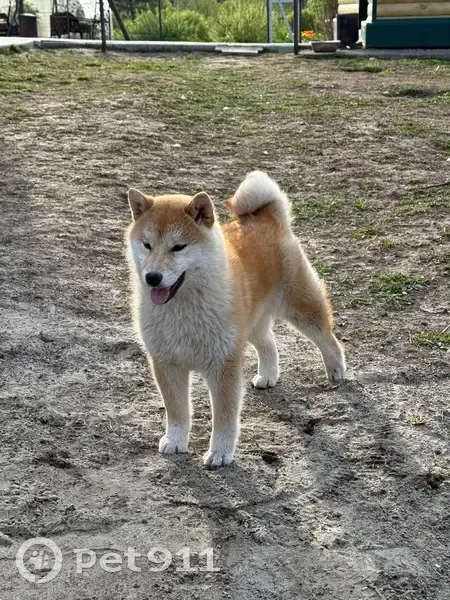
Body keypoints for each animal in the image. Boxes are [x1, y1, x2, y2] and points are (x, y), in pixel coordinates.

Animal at [126, 171, 345, 467]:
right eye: (147, 245)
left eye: (178, 247)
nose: (152, 277)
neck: (182, 310)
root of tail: (267, 217)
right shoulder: (166, 362)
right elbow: (177, 411)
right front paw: (175, 440)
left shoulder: (223, 364)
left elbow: (224, 418)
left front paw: (220, 452)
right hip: (249, 325)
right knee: (269, 343)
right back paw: (268, 375)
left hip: (300, 307)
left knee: (328, 338)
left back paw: (336, 370)